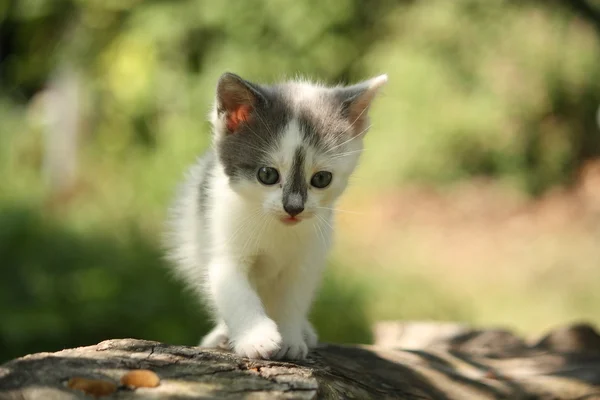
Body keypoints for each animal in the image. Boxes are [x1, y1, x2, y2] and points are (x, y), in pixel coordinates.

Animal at [166, 71, 386, 360]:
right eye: (267, 175)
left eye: (322, 179)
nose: (293, 207)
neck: (275, 228)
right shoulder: (223, 246)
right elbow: (234, 292)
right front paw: (256, 338)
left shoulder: (307, 260)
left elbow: (293, 300)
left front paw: (290, 338)